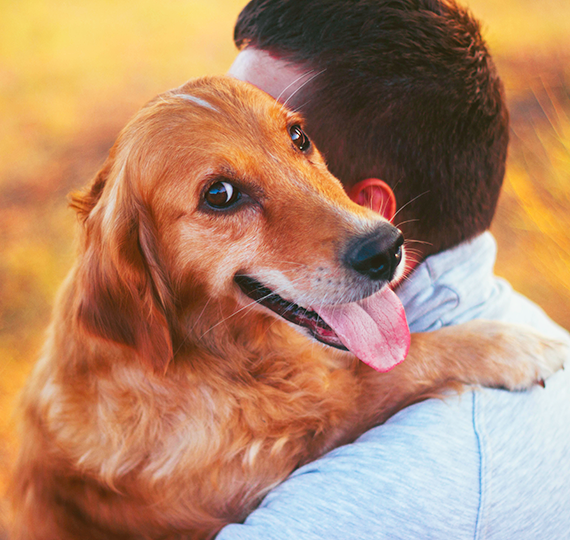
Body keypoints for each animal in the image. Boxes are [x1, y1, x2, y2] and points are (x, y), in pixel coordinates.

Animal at [10, 77, 564, 540]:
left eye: (298, 137)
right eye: (219, 194)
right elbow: (386, 373)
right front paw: (512, 346)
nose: (385, 248)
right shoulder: (260, 465)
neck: (218, 357)